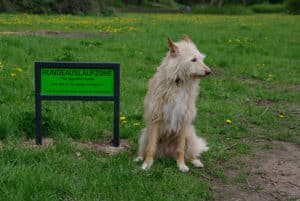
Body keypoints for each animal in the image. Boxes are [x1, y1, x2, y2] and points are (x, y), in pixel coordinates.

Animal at [135, 35, 210, 172]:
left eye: (201, 59)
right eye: (193, 60)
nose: (209, 71)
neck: (178, 83)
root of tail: (167, 153)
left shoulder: (184, 119)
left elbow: (180, 149)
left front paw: (181, 165)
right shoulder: (155, 118)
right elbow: (151, 148)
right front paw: (147, 164)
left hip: (189, 135)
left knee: (189, 153)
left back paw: (195, 161)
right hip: (146, 133)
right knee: (145, 148)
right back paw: (139, 158)